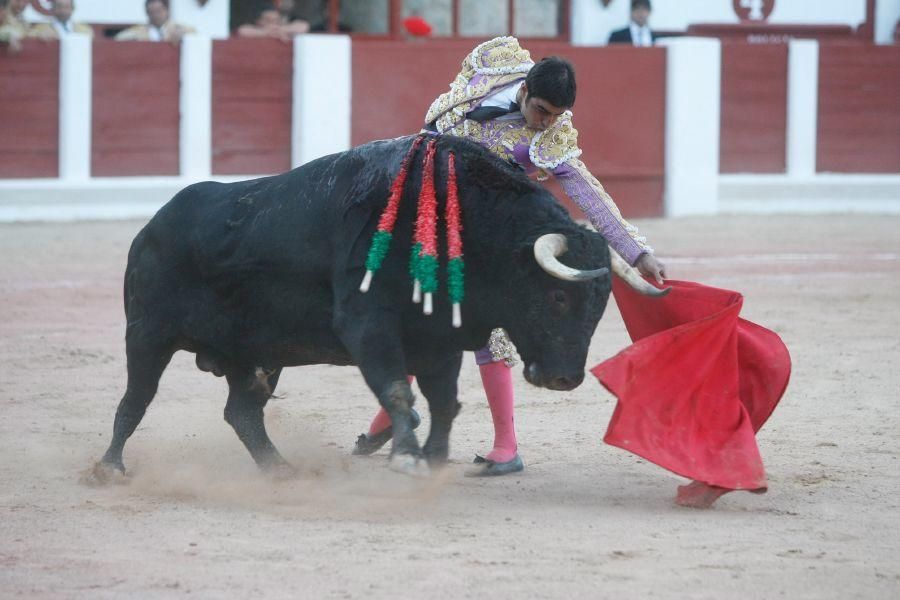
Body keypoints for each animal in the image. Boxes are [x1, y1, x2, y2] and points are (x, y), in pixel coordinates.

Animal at [100, 134, 620, 476]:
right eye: (558, 296)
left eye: (600, 307)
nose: (565, 378)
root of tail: (151, 228)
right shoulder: (368, 325)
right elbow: (397, 390)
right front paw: (407, 456)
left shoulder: (438, 339)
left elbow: (444, 400)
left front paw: (432, 456)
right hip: (147, 333)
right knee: (135, 399)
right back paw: (109, 467)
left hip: (256, 354)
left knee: (243, 413)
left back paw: (280, 470)